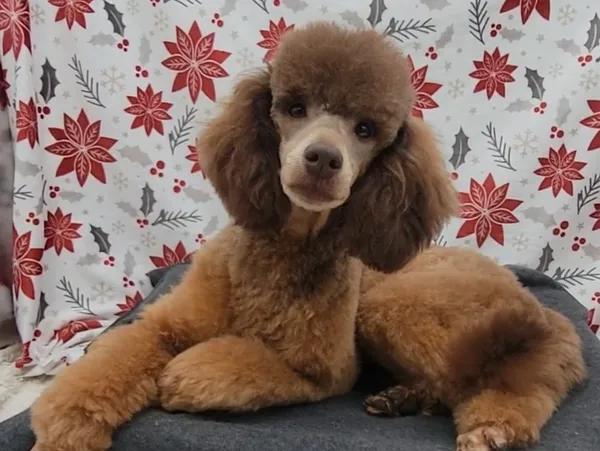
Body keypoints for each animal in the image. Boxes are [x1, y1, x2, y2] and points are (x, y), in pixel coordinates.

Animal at [30, 23, 456, 450]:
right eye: (295, 108)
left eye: (365, 129)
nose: (323, 158)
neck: (282, 250)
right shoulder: (162, 326)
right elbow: (104, 368)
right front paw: (66, 430)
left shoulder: (324, 373)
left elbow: (249, 365)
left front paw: (188, 373)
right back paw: (400, 398)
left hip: (387, 309)